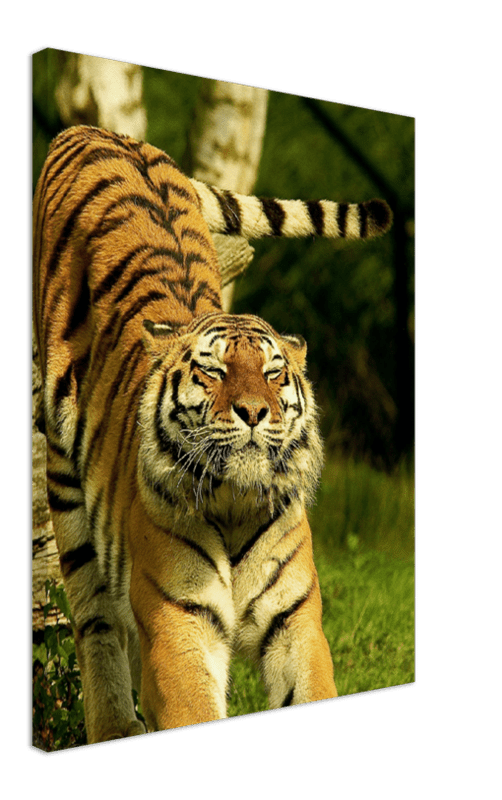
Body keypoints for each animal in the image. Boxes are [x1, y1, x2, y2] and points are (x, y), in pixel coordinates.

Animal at [32, 125, 392, 744]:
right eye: (215, 372)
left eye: (273, 374)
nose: (253, 412)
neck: (235, 504)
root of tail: (96, 131)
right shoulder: (181, 624)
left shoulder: (297, 623)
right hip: (63, 478)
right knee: (95, 619)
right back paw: (114, 725)